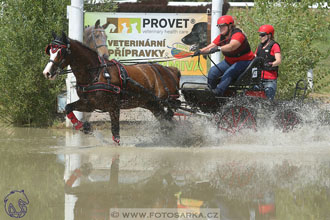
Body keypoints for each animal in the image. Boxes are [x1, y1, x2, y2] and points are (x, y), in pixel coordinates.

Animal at [42, 31, 180, 144]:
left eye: (61, 52)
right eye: (50, 51)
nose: (47, 72)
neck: (96, 73)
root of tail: (170, 70)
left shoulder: (113, 106)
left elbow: (115, 133)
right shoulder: (89, 104)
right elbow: (68, 107)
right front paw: (83, 127)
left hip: (161, 102)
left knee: (169, 121)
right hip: (152, 104)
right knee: (167, 123)